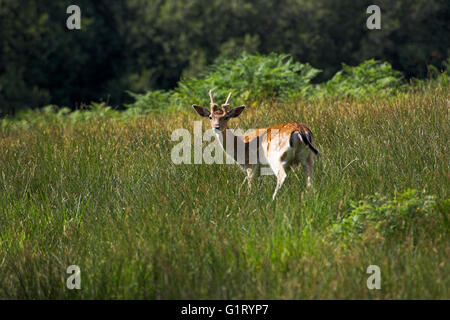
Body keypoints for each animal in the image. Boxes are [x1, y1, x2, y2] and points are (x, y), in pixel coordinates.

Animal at [192, 90, 320, 200]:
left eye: (226, 117)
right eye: (210, 117)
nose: (217, 127)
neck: (240, 146)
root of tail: (301, 130)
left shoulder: (251, 164)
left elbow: (250, 185)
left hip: (276, 157)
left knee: (282, 176)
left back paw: (273, 200)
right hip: (308, 157)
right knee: (310, 180)